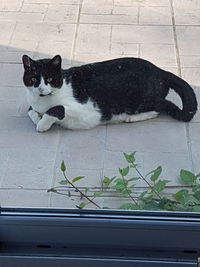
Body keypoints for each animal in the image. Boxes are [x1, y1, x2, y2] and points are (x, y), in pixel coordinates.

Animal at [21, 55, 197, 133]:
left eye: (50, 79)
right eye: (34, 79)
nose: (41, 89)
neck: (42, 101)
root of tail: (161, 71)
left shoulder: (88, 112)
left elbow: (56, 109)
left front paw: (42, 124)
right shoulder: (32, 103)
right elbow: (31, 110)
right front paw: (37, 117)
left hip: (141, 99)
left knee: (165, 106)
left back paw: (131, 117)